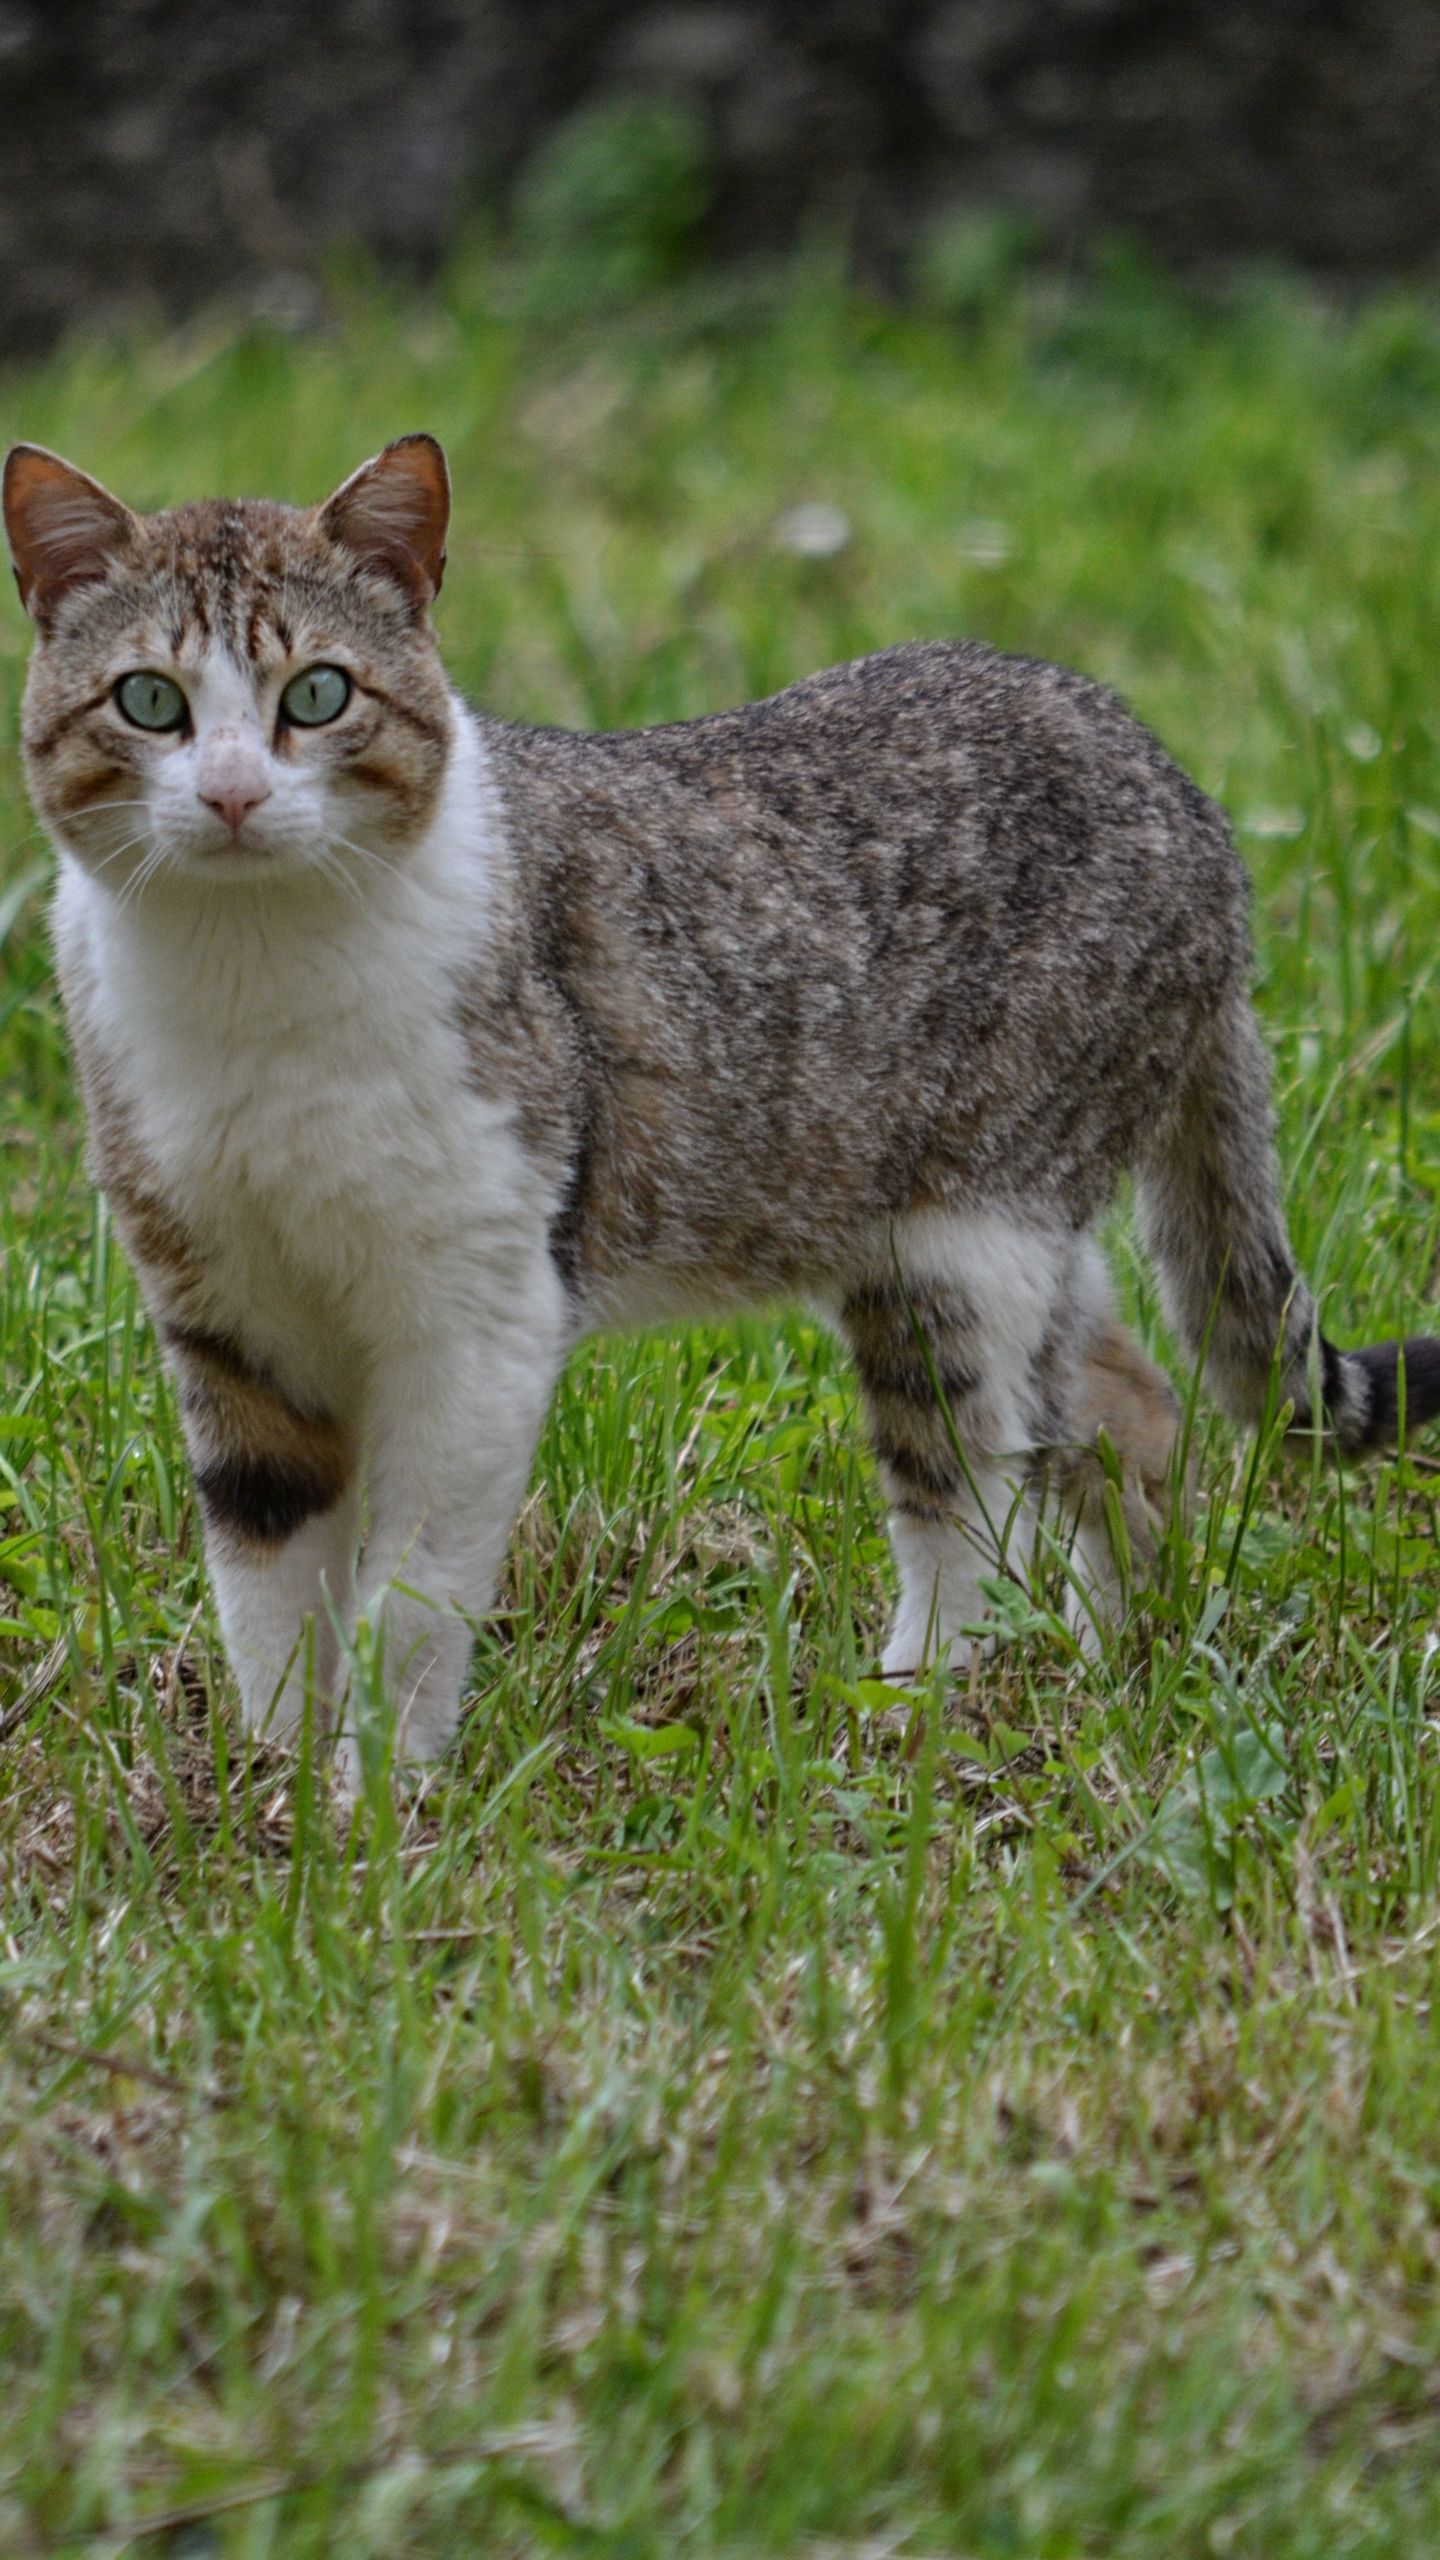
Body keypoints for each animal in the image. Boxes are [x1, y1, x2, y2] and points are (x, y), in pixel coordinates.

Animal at [11, 430, 1434, 1771]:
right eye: (148, 701)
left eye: (317, 694)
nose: (233, 793)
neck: (251, 979)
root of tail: (1193, 804)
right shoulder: (225, 1312)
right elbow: (265, 1575)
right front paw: (270, 1787)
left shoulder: (479, 1313)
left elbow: (406, 1596)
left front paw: (378, 1800)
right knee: (1127, 1406)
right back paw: (1108, 1665)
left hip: (961, 1238)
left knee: (973, 1490)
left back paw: (917, 1711)